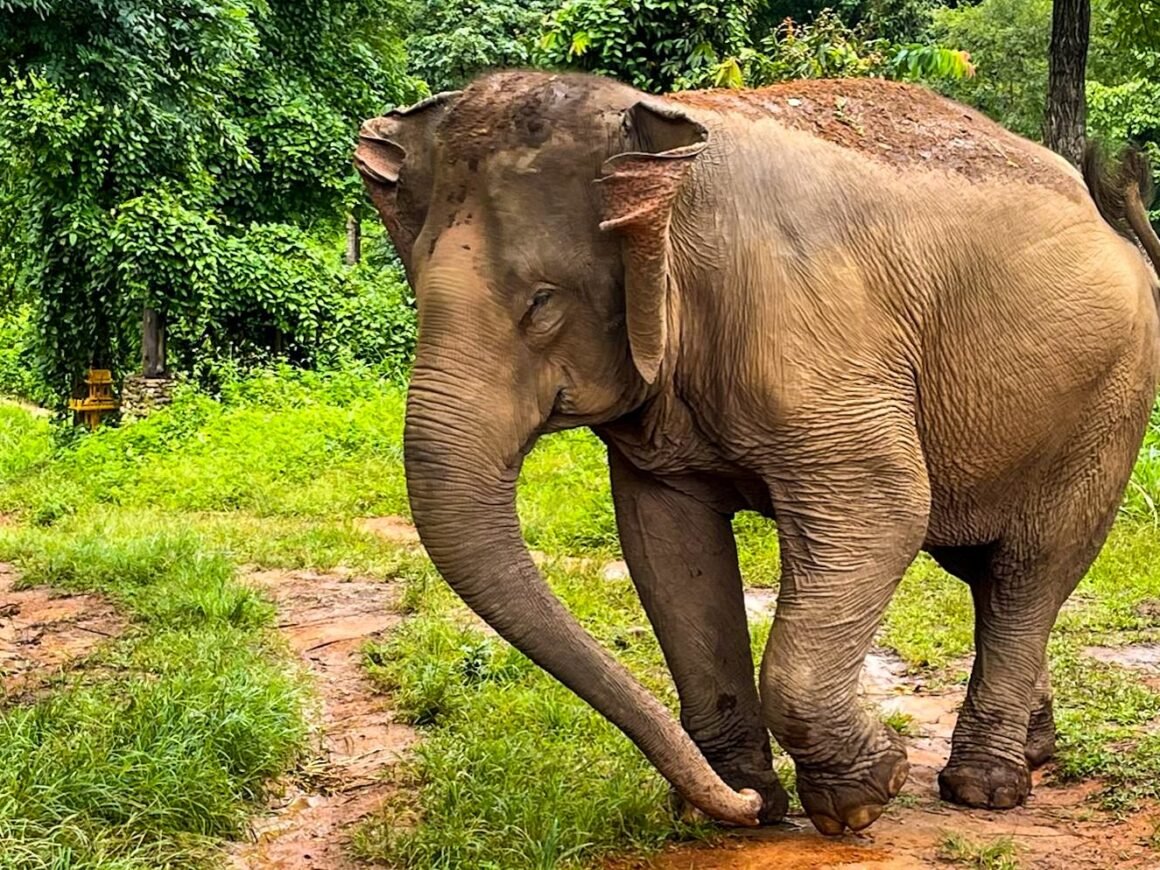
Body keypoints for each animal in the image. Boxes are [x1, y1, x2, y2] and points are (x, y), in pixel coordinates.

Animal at [354, 71, 1160, 835]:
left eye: (542, 302)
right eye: (419, 292)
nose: (733, 802)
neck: (666, 148)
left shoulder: (822, 349)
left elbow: (887, 509)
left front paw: (863, 797)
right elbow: (668, 548)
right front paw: (742, 804)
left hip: (1110, 401)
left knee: (1030, 568)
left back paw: (985, 789)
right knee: (982, 569)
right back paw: (1034, 750)